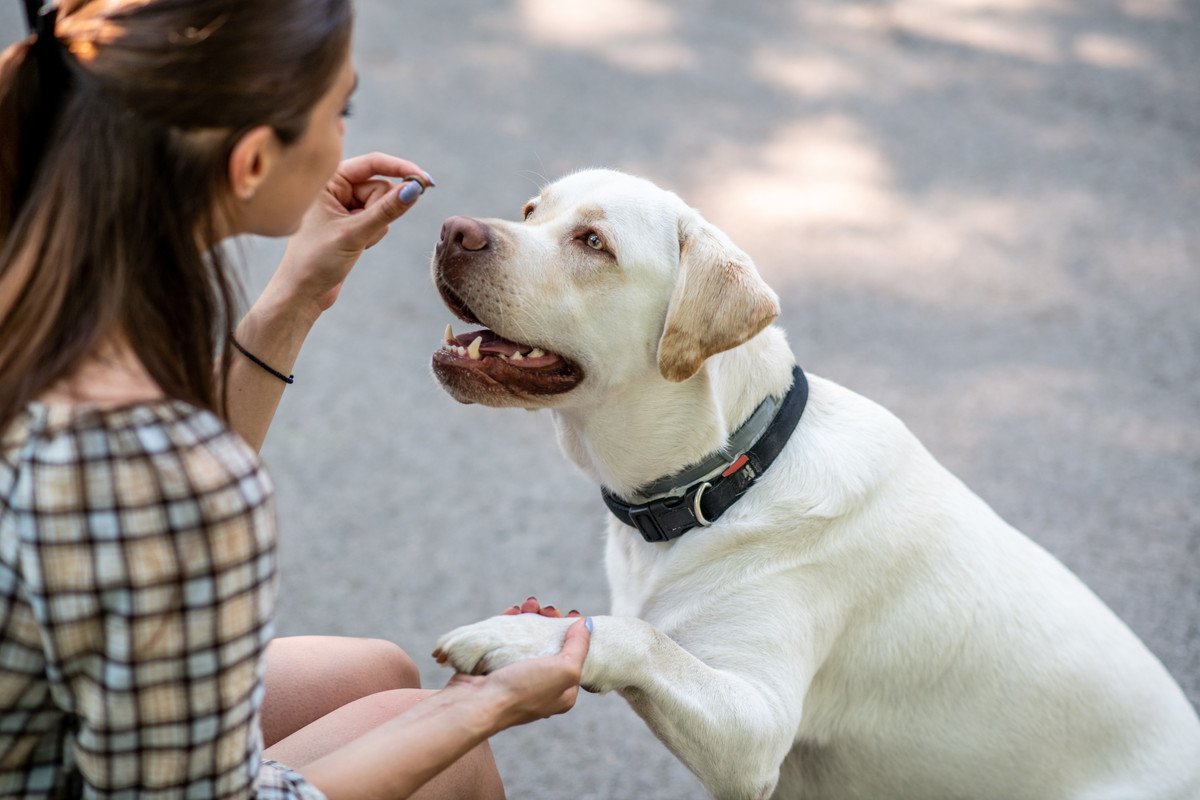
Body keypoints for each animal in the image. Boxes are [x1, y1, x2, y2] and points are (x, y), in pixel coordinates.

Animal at [427, 169, 1195, 800]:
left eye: (593, 242)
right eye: (531, 210)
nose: (452, 229)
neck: (726, 479)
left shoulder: (755, 730)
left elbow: (637, 638)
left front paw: (517, 638)